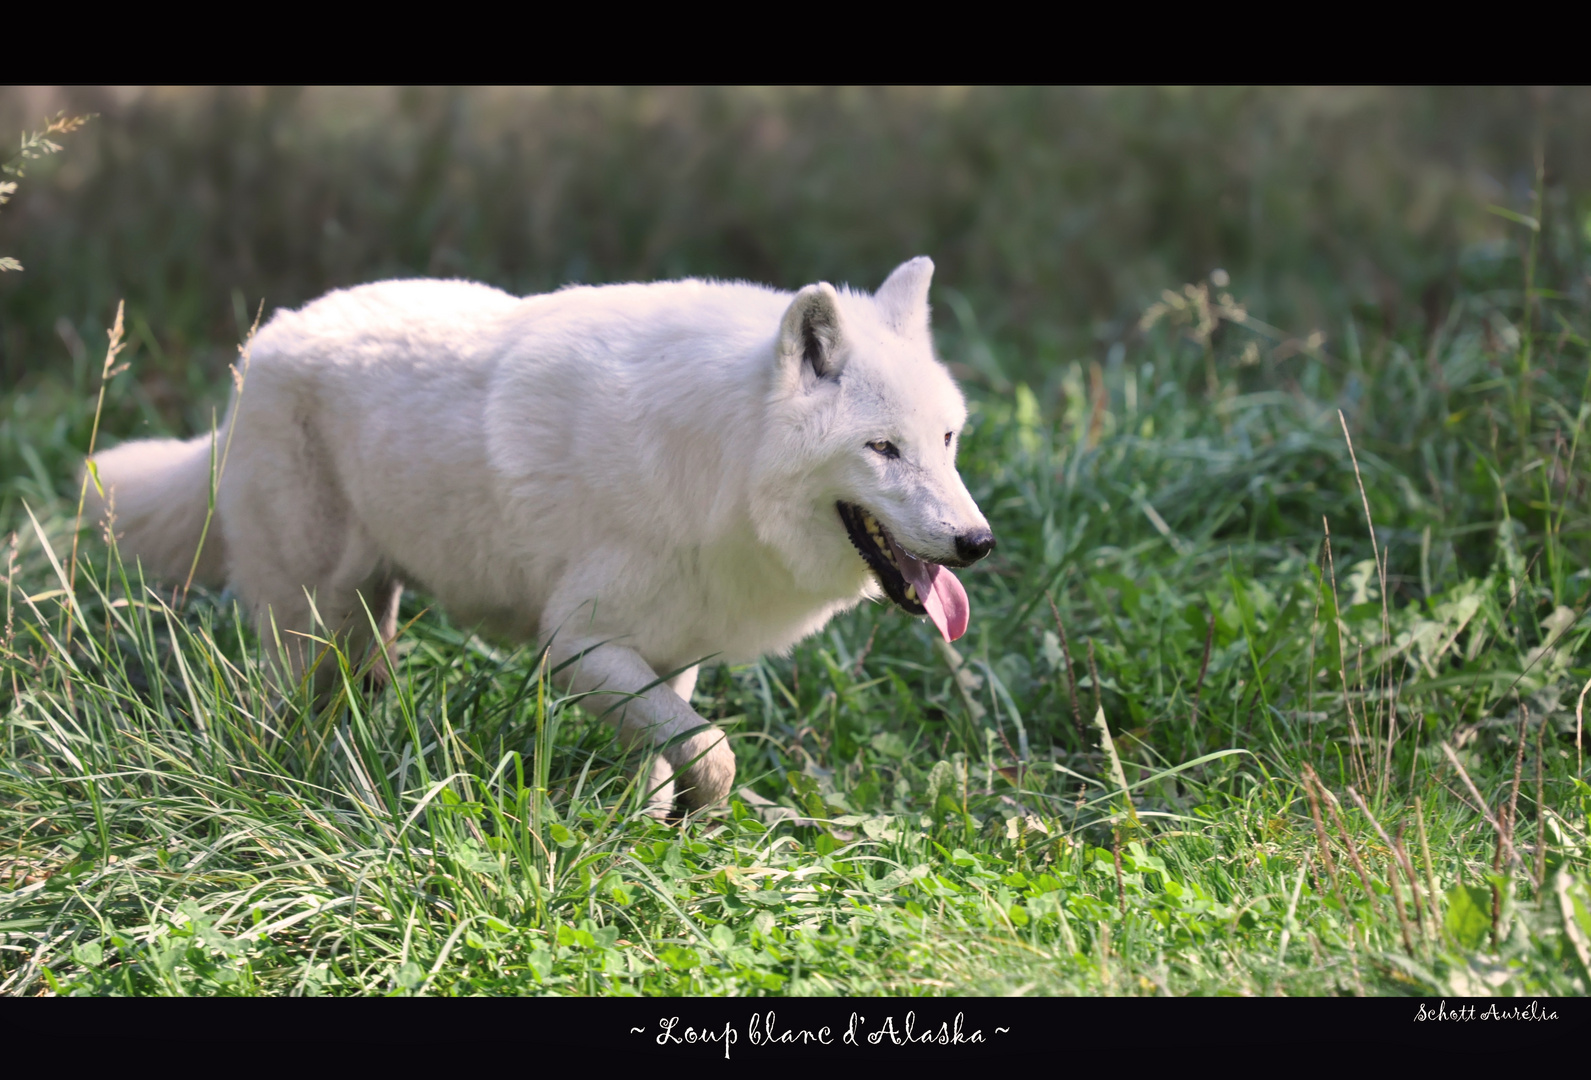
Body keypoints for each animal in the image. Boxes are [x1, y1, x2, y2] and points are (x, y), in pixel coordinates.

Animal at [87, 259, 992, 811]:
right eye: (882, 449)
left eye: (946, 439)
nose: (977, 542)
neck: (716, 458)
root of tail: (263, 345)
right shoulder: (573, 644)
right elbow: (715, 752)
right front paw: (699, 817)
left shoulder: (669, 650)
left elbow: (671, 749)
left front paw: (649, 831)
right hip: (310, 622)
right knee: (281, 704)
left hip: (362, 623)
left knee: (358, 690)